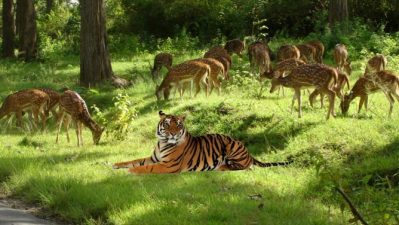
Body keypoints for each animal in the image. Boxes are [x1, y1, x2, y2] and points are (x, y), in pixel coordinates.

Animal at [114, 110, 292, 174]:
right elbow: (134, 160)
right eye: (167, 124)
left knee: (244, 166)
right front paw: (116, 164)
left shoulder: (168, 165)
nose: (174, 133)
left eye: (178, 125)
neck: (163, 142)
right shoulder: (154, 158)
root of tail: (248, 151)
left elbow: (146, 168)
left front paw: (131, 171)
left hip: (231, 147)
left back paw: (221, 167)